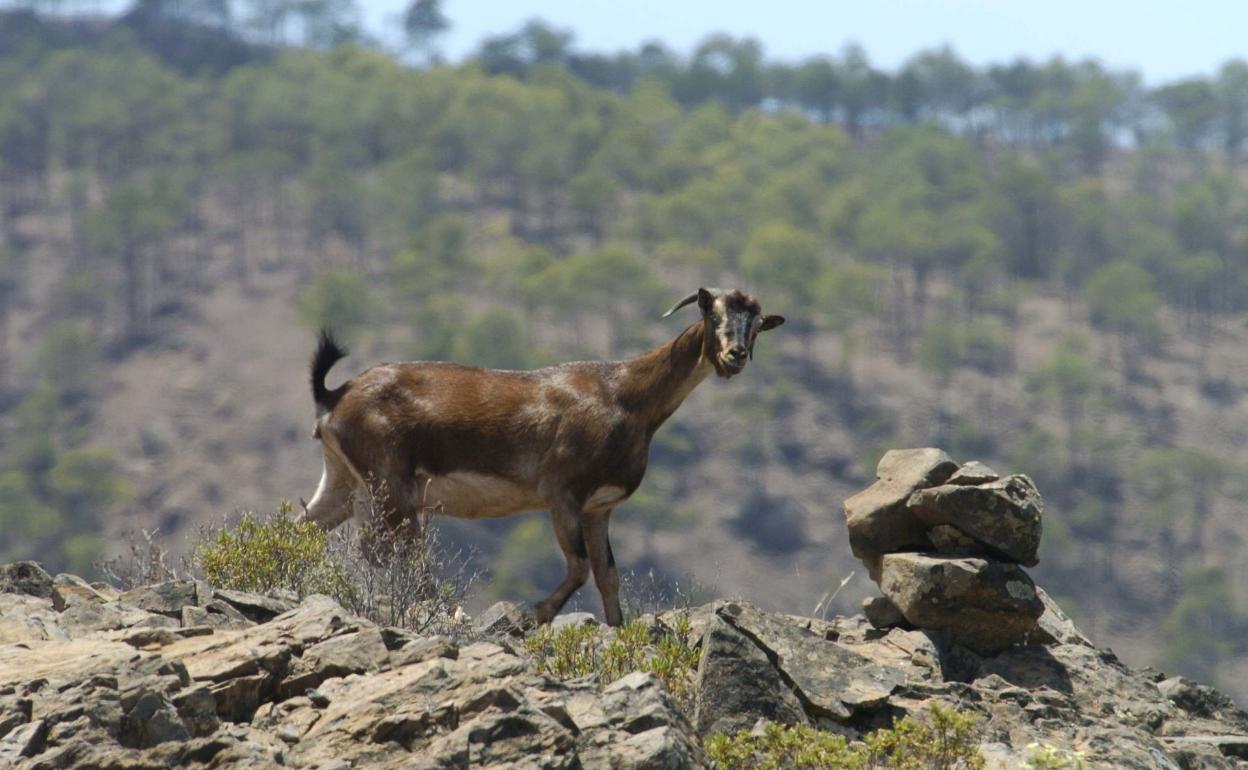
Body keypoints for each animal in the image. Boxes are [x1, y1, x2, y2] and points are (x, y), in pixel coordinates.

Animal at [299, 287, 784, 626]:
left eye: (757, 324)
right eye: (713, 314)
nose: (735, 355)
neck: (626, 396)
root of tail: (334, 397)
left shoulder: (599, 506)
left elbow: (607, 575)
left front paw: (618, 629)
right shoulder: (563, 493)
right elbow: (580, 567)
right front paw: (531, 616)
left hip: (347, 485)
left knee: (308, 530)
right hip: (392, 484)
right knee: (404, 557)